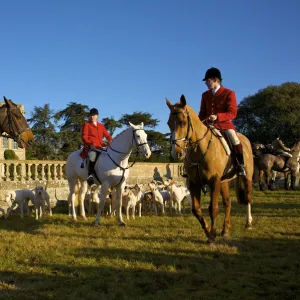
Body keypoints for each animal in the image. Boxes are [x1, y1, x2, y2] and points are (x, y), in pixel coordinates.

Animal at [166, 95, 253, 245]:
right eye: (168, 123)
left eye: (183, 123)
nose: (176, 153)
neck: (199, 149)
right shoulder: (194, 183)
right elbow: (196, 210)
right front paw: (208, 231)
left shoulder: (214, 181)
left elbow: (213, 209)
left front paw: (212, 235)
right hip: (224, 182)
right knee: (228, 203)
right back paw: (225, 230)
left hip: (246, 177)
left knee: (247, 198)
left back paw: (248, 223)